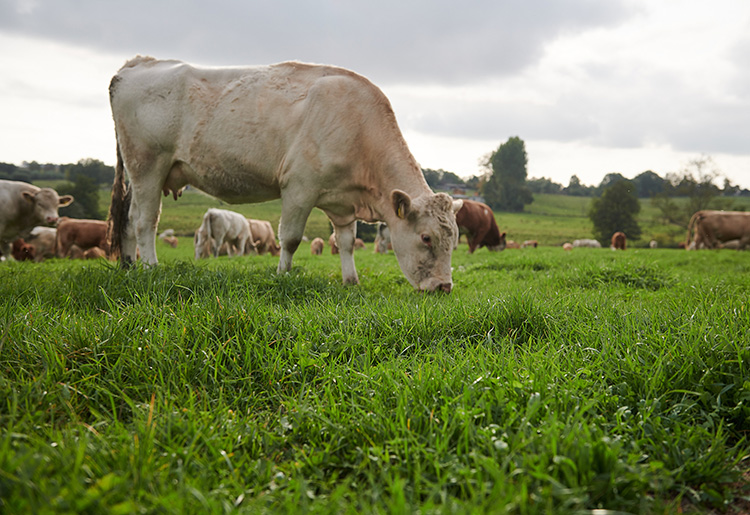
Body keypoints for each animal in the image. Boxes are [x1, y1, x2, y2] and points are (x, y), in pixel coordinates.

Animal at [109, 57, 464, 292]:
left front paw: (351, 280)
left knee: (128, 218)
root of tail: (137, 64)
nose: (444, 287)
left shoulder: (342, 202)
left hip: (141, 175)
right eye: (426, 238)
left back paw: (129, 265)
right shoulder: (299, 188)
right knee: (145, 221)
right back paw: (151, 267)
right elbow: (291, 238)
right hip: (147, 166)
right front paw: (282, 274)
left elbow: (346, 242)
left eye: (455, 239)